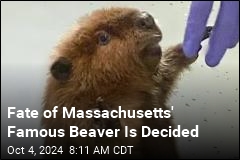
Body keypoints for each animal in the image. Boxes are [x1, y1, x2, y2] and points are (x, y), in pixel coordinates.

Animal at [41, 7, 212, 159]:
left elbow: (165, 72)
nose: (146, 18)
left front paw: (198, 37)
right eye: (103, 38)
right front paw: (105, 121)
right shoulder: (73, 116)